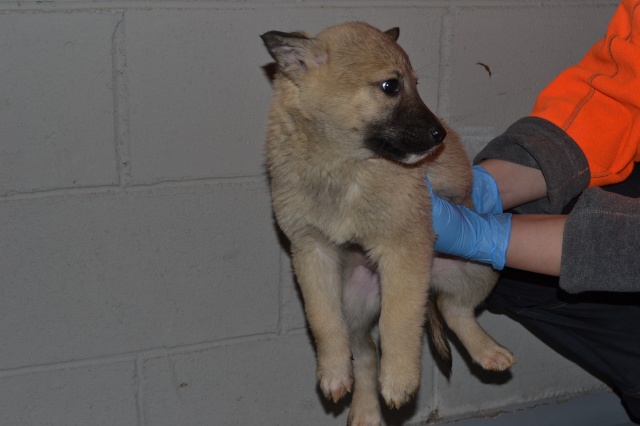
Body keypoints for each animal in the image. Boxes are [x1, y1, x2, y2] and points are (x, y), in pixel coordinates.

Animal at [261, 22, 515, 425]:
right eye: (391, 86)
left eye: (415, 84)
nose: (441, 135)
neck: (342, 164)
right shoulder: (312, 253)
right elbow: (323, 320)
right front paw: (333, 371)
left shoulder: (403, 251)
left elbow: (399, 321)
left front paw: (398, 379)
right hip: (352, 306)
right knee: (365, 354)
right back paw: (365, 409)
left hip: (479, 270)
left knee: (453, 309)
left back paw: (486, 350)